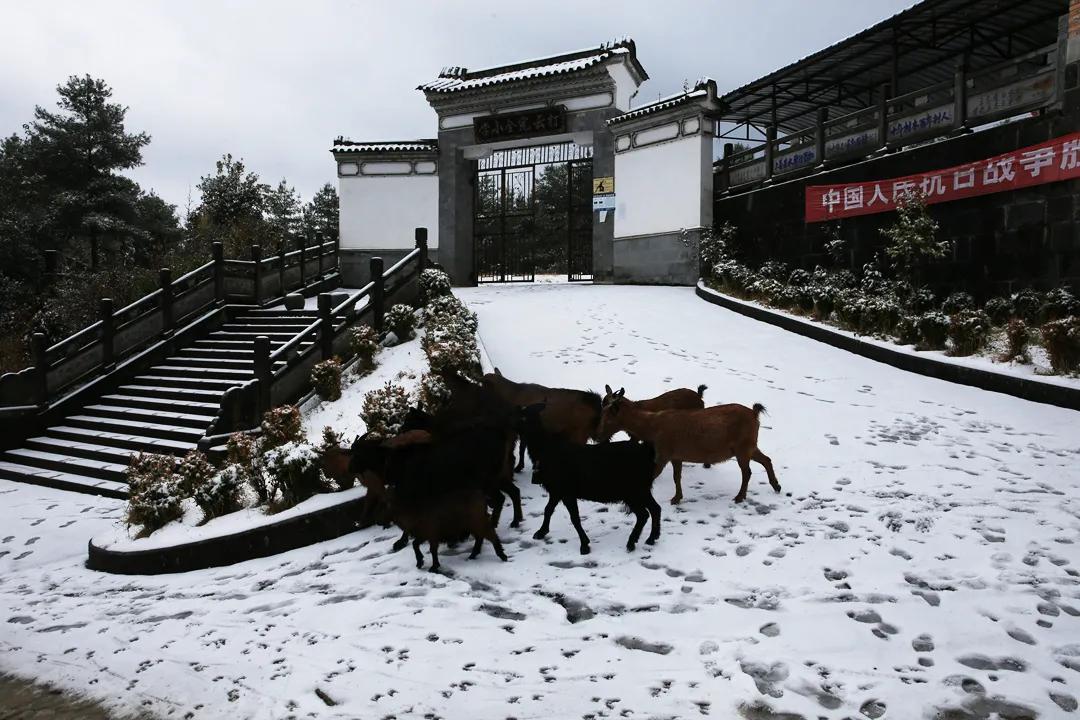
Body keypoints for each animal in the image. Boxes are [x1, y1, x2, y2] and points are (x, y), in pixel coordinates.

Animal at [518, 405, 660, 552]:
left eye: (522, 417)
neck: (546, 450)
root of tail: (646, 451)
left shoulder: (567, 492)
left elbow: (574, 518)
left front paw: (584, 545)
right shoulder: (557, 491)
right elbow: (548, 510)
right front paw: (541, 532)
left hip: (633, 491)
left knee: (643, 515)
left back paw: (631, 542)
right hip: (642, 490)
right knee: (655, 509)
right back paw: (651, 538)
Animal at [596, 390, 781, 505]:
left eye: (609, 418)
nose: (597, 436)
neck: (652, 427)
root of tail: (754, 414)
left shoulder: (663, 453)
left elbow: (653, 474)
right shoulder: (675, 455)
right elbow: (676, 477)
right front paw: (677, 498)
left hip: (743, 446)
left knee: (747, 472)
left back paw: (740, 496)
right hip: (749, 445)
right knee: (766, 459)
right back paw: (776, 486)